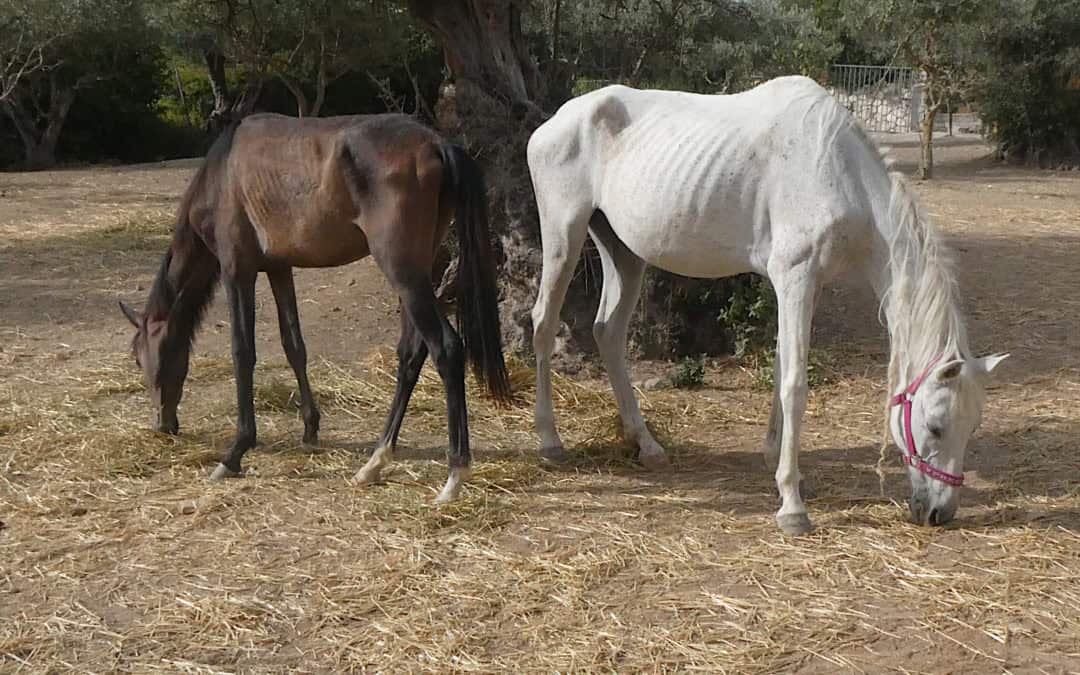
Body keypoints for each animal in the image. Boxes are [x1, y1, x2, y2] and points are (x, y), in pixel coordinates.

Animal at [124, 111, 511, 501]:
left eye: (143, 358)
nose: (163, 424)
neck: (223, 171)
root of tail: (437, 143)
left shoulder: (238, 270)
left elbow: (243, 353)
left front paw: (235, 452)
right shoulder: (279, 268)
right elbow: (294, 345)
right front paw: (310, 429)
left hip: (403, 273)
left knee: (446, 349)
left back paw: (454, 474)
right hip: (417, 273)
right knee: (411, 356)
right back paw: (375, 461)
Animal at [527, 77, 1006, 531]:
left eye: (973, 426)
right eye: (935, 427)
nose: (940, 513)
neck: (838, 170)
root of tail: (552, 124)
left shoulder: (806, 286)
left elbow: (780, 368)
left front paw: (778, 463)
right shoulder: (796, 277)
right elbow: (795, 385)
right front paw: (792, 507)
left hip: (622, 251)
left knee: (608, 332)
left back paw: (646, 444)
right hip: (564, 234)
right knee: (544, 324)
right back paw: (550, 441)